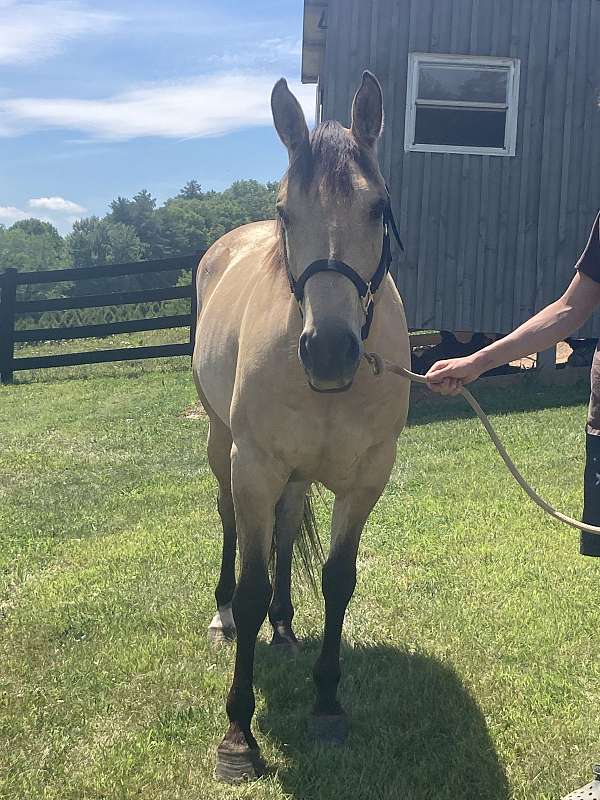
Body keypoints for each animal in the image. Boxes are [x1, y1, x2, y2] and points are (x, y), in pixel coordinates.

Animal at [192, 71, 411, 783]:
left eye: (378, 209)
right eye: (288, 214)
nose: (331, 352)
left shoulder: (366, 478)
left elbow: (338, 581)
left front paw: (327, 705)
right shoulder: (256, 465)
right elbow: (253, 583)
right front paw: (239, 735)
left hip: (294, 474)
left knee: (287, 528)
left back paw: (286, 628)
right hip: (224, 449)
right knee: (231, 522)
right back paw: (226, 616)